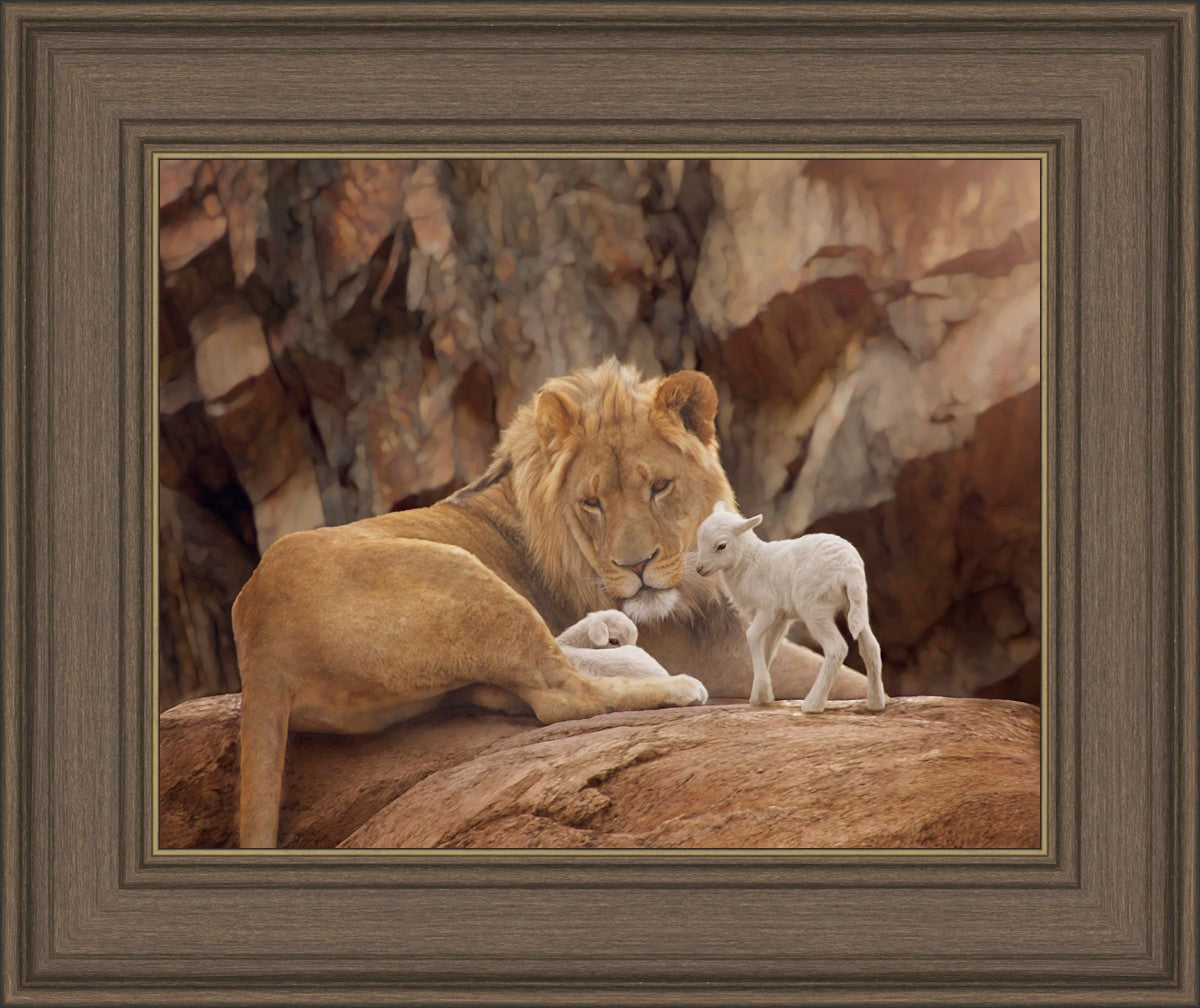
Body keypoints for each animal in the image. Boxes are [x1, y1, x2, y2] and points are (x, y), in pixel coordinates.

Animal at [694, 502, 887, 713]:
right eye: (699, 538)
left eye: (721, 546)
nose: (699, 569)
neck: (750, 561)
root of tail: (850, 568)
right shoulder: (781, 618)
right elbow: (768, 648)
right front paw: (761, 695)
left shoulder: (768, 608)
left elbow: (752, 636)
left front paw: (762, 690)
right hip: (856, 605)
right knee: (871, 647)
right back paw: (876, 703)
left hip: (814, 607)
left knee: (836, 648)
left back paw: (813, 704)